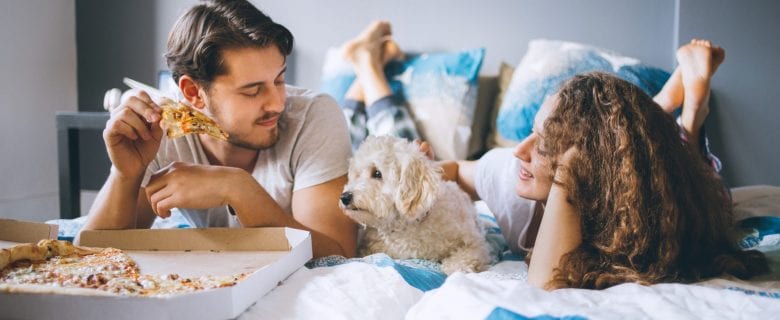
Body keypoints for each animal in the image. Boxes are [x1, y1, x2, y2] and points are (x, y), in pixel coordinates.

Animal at [340, 136, 490, 274]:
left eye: (377, 173)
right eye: (357, 175)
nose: (344, 197)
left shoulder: (474, 242)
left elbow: (467, 255)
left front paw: (456, 267)